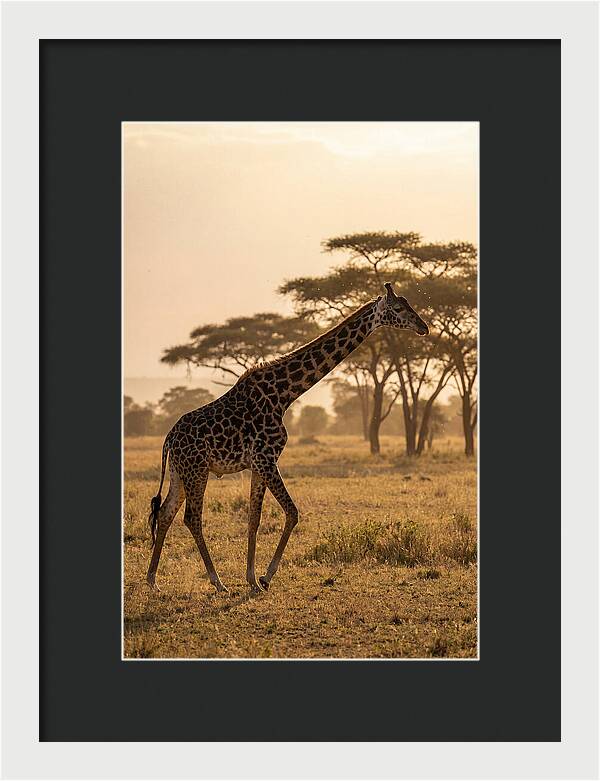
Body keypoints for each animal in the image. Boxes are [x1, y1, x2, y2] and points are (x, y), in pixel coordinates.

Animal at [146, 282, 429, 594]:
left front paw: (252, 579)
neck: (284, 394)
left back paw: (152, 580)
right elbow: (292, 512)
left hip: (180, 472)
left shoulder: (258, 464)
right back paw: (217, 582)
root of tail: (169, 438)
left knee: (165, 512)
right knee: (192, 518)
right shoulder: (266, 458)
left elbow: (254, 518)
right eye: (399, 308)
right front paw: (266, 577)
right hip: (197, 470)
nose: (424, 327)